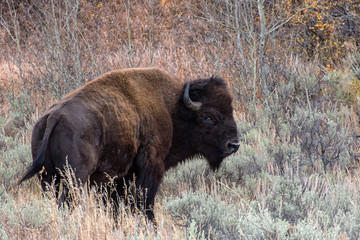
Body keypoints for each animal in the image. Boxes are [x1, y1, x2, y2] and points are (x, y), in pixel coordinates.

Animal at [19, 67, 239, 221]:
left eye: (230, 110)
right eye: (209, 117)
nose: (234, 145)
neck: (173, 109)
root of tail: (54, 116)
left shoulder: (117, 178)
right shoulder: (151, 168)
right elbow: (145, 202)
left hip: (48, 177)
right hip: (75, 177)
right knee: (67, 202)